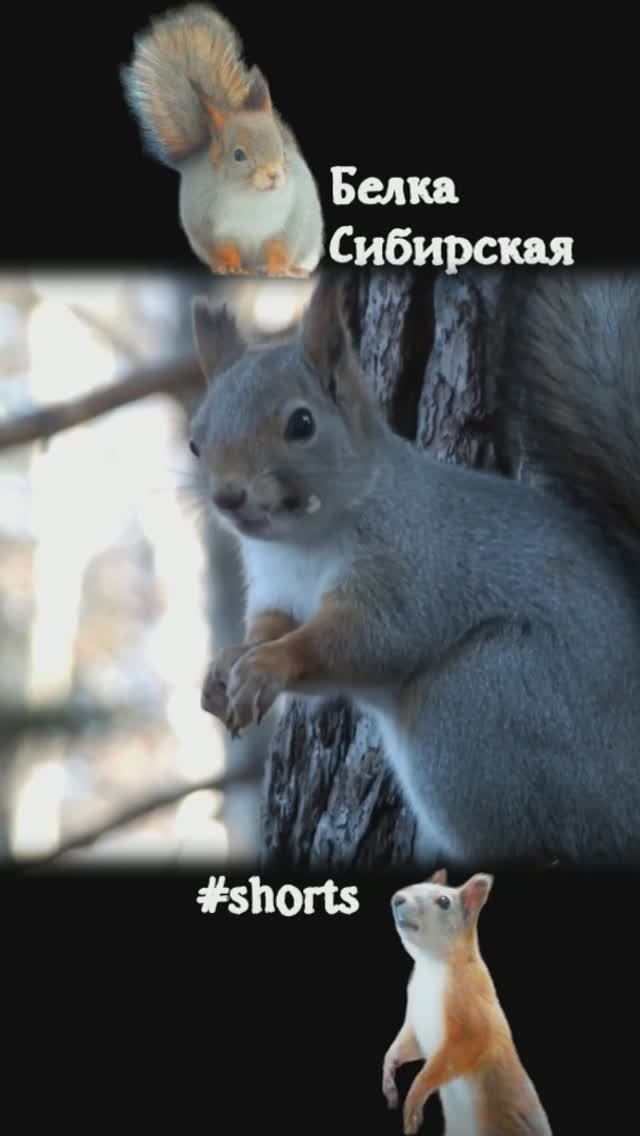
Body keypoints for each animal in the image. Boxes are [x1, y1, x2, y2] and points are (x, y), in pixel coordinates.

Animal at [121, 4, 324, 278]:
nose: (274, 175)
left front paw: (279, 269)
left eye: (284, 153)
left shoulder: (291, 219)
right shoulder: (208, 224)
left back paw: (296, 270)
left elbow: (281, 247)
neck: (251, 197)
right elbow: (224, 248)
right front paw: (228, 266)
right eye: (238, 155)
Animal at [190, 266, 640, 867]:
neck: (302, 544)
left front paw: (269, 665)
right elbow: (271, 627)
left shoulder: (406, 569)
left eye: (302, 423)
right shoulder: (277, 589)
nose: (229, 496)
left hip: (479, 705)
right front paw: (228, 664)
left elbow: (360, 640)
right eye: (195, 442)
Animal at [383, 869, 552, 1135]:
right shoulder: (415, 1021)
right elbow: (408, 1045)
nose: (396, 899)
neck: (430, 964)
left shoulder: (470, 1009)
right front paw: (388, 1076)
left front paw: (413, 1101)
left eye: (444, 902)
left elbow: (460, 1051)